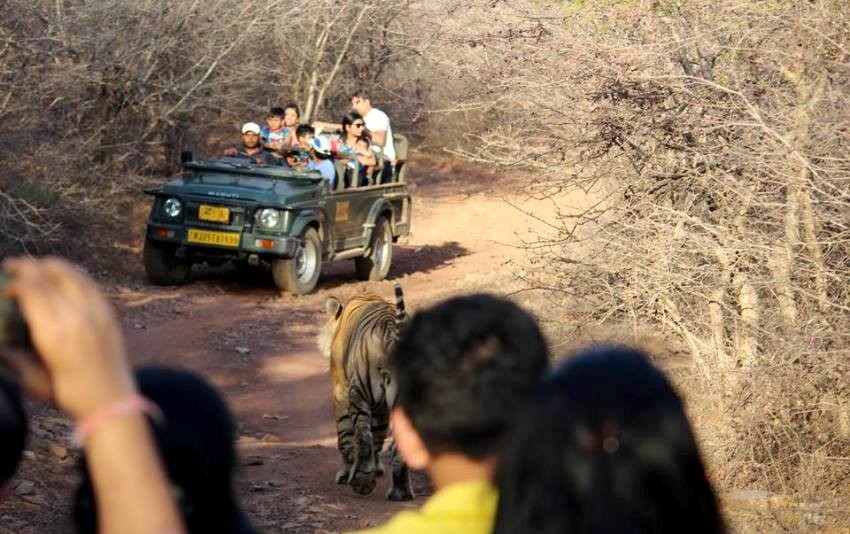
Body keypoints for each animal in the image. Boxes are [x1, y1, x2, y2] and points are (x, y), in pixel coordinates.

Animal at [317, 283, 414, 501]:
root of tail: (392, 329)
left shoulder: (341, 390)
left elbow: (346, 435)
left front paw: (346, 473)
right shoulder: (382, 408)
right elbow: (379, 436)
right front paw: (376, 468)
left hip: (359, 391)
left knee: (363, 435)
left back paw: (362, 482)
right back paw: (400, 492)